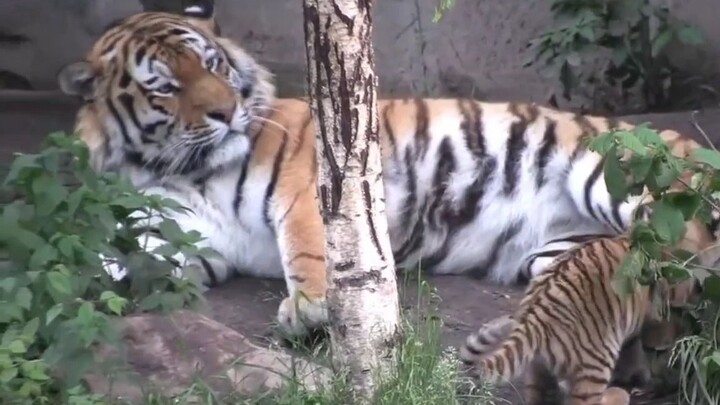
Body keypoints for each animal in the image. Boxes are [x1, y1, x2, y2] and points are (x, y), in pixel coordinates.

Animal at [54, 3, 712, 337]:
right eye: (165, 87)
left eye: (211, 63)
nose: (227, 110)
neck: (177, 165)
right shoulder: (176, 233)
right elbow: (100, 261)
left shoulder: (308, 185)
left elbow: (313, 250)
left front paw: (310, 310)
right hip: (565, 254)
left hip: (617, 176)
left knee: (699, 247)